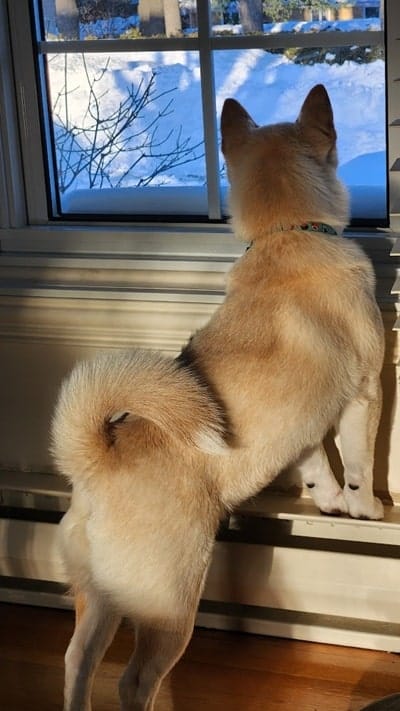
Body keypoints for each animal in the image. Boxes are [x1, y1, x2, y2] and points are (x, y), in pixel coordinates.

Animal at [52, 85, 384, 711]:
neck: (288, 232)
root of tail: (96, 463)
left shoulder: (302, 428)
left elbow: (317, 467)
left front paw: (329, 501)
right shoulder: (363, 396)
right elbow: (357, 463)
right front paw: (367, 507)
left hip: (99, 603)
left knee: (78, 662)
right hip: (170, 608)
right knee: (135, 682)